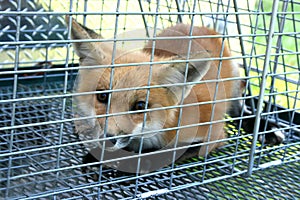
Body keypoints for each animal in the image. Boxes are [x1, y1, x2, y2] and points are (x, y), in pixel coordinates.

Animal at [67, 16, 240, 172]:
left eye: (140, 106)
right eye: (103, 96)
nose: (107, 140)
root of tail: (200, 27)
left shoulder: (214, 133)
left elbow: (169, 152)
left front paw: (139, 162)